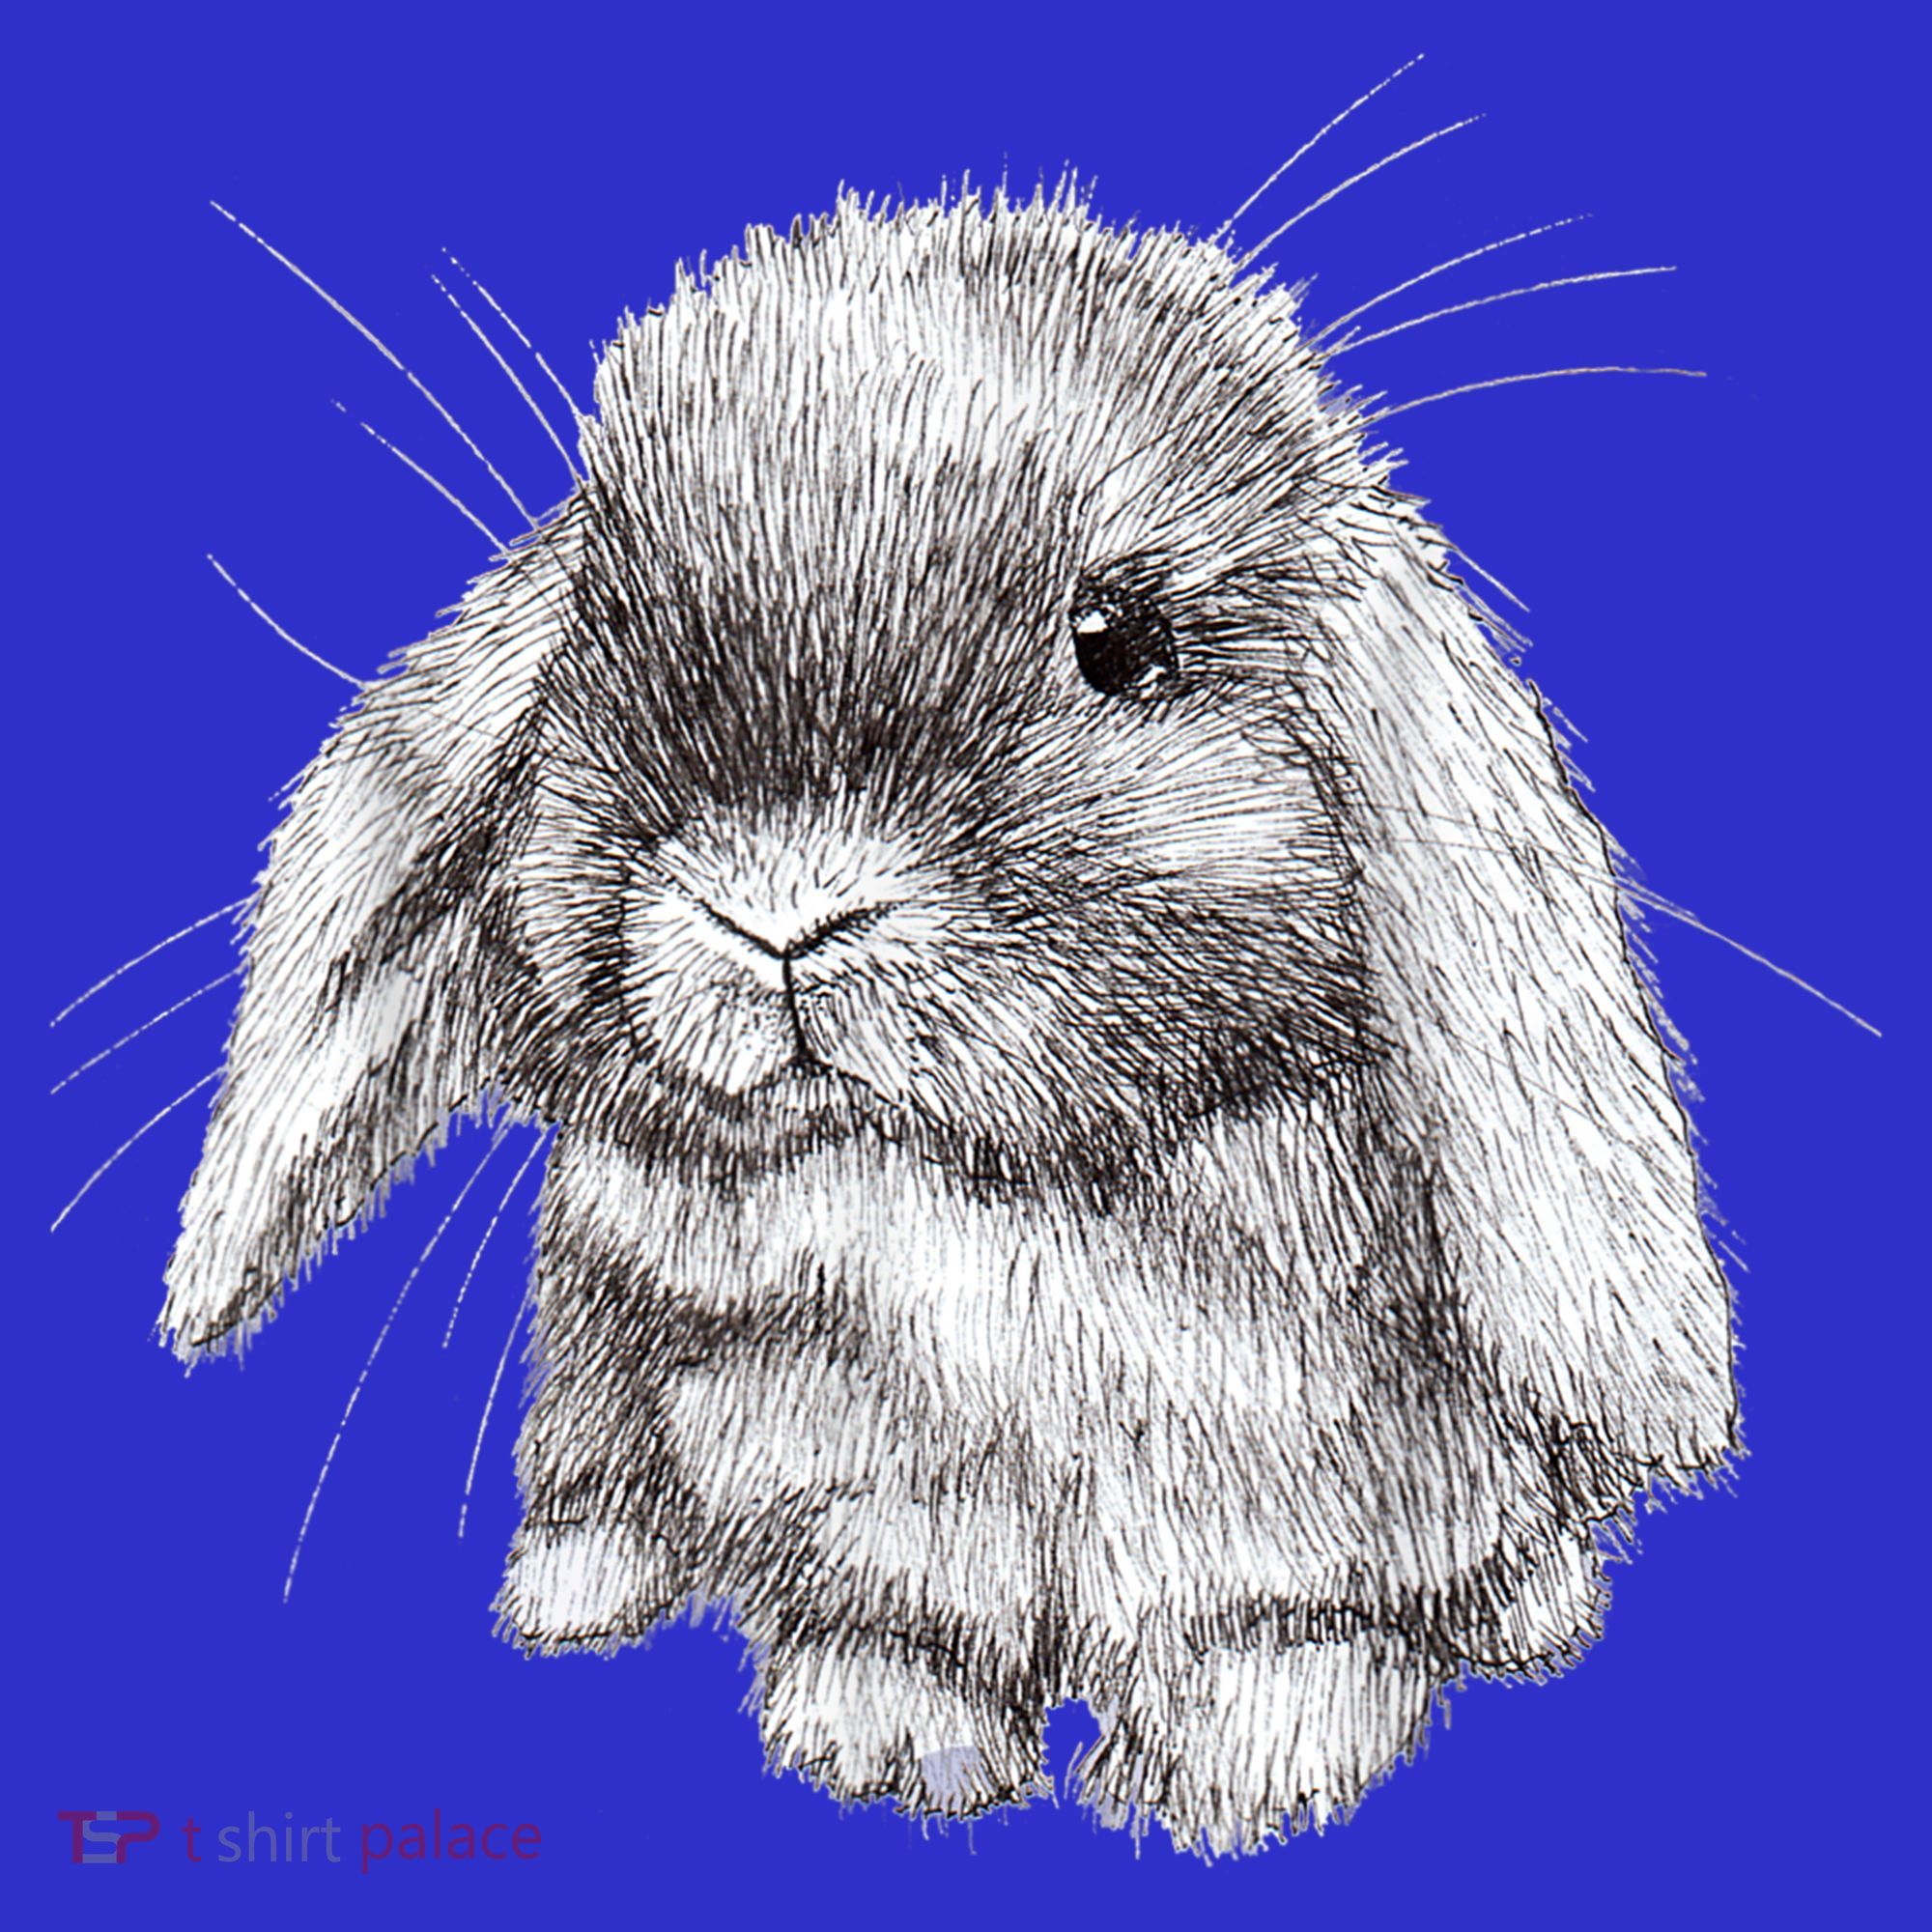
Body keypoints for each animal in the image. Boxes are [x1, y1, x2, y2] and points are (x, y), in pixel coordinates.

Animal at [158, 179, 1738, 1857]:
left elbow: (1272, 1628)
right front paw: (888, 1746)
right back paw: (579, 1590)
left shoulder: (1301, 1490)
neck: (1004, 1199)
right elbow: (904, 1612)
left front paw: (1248, 1772)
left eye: (1120, 642)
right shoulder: (840, 1467)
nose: (780, 914)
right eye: (617, 629)